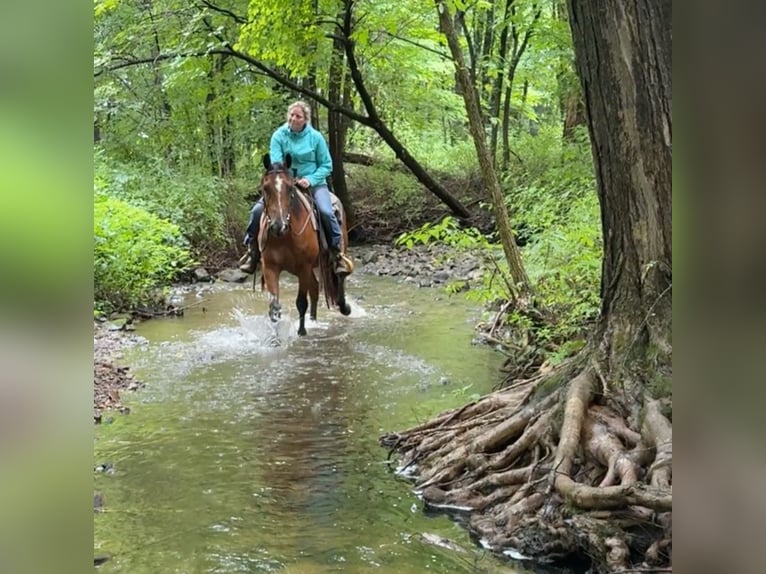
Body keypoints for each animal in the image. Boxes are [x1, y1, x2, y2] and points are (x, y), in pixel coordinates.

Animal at [258, 152, 354, 338]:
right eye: (265, 188)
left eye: (290, 188)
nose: (278, 226)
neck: (285, 237)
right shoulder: (270, 267)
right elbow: (274, 307)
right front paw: (275, 337)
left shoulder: (303, 267)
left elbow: (301, 301)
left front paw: (301, 332)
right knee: (315, 288)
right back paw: (313, 320)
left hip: (334, 253)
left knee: (339, 276)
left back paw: (343, 307)